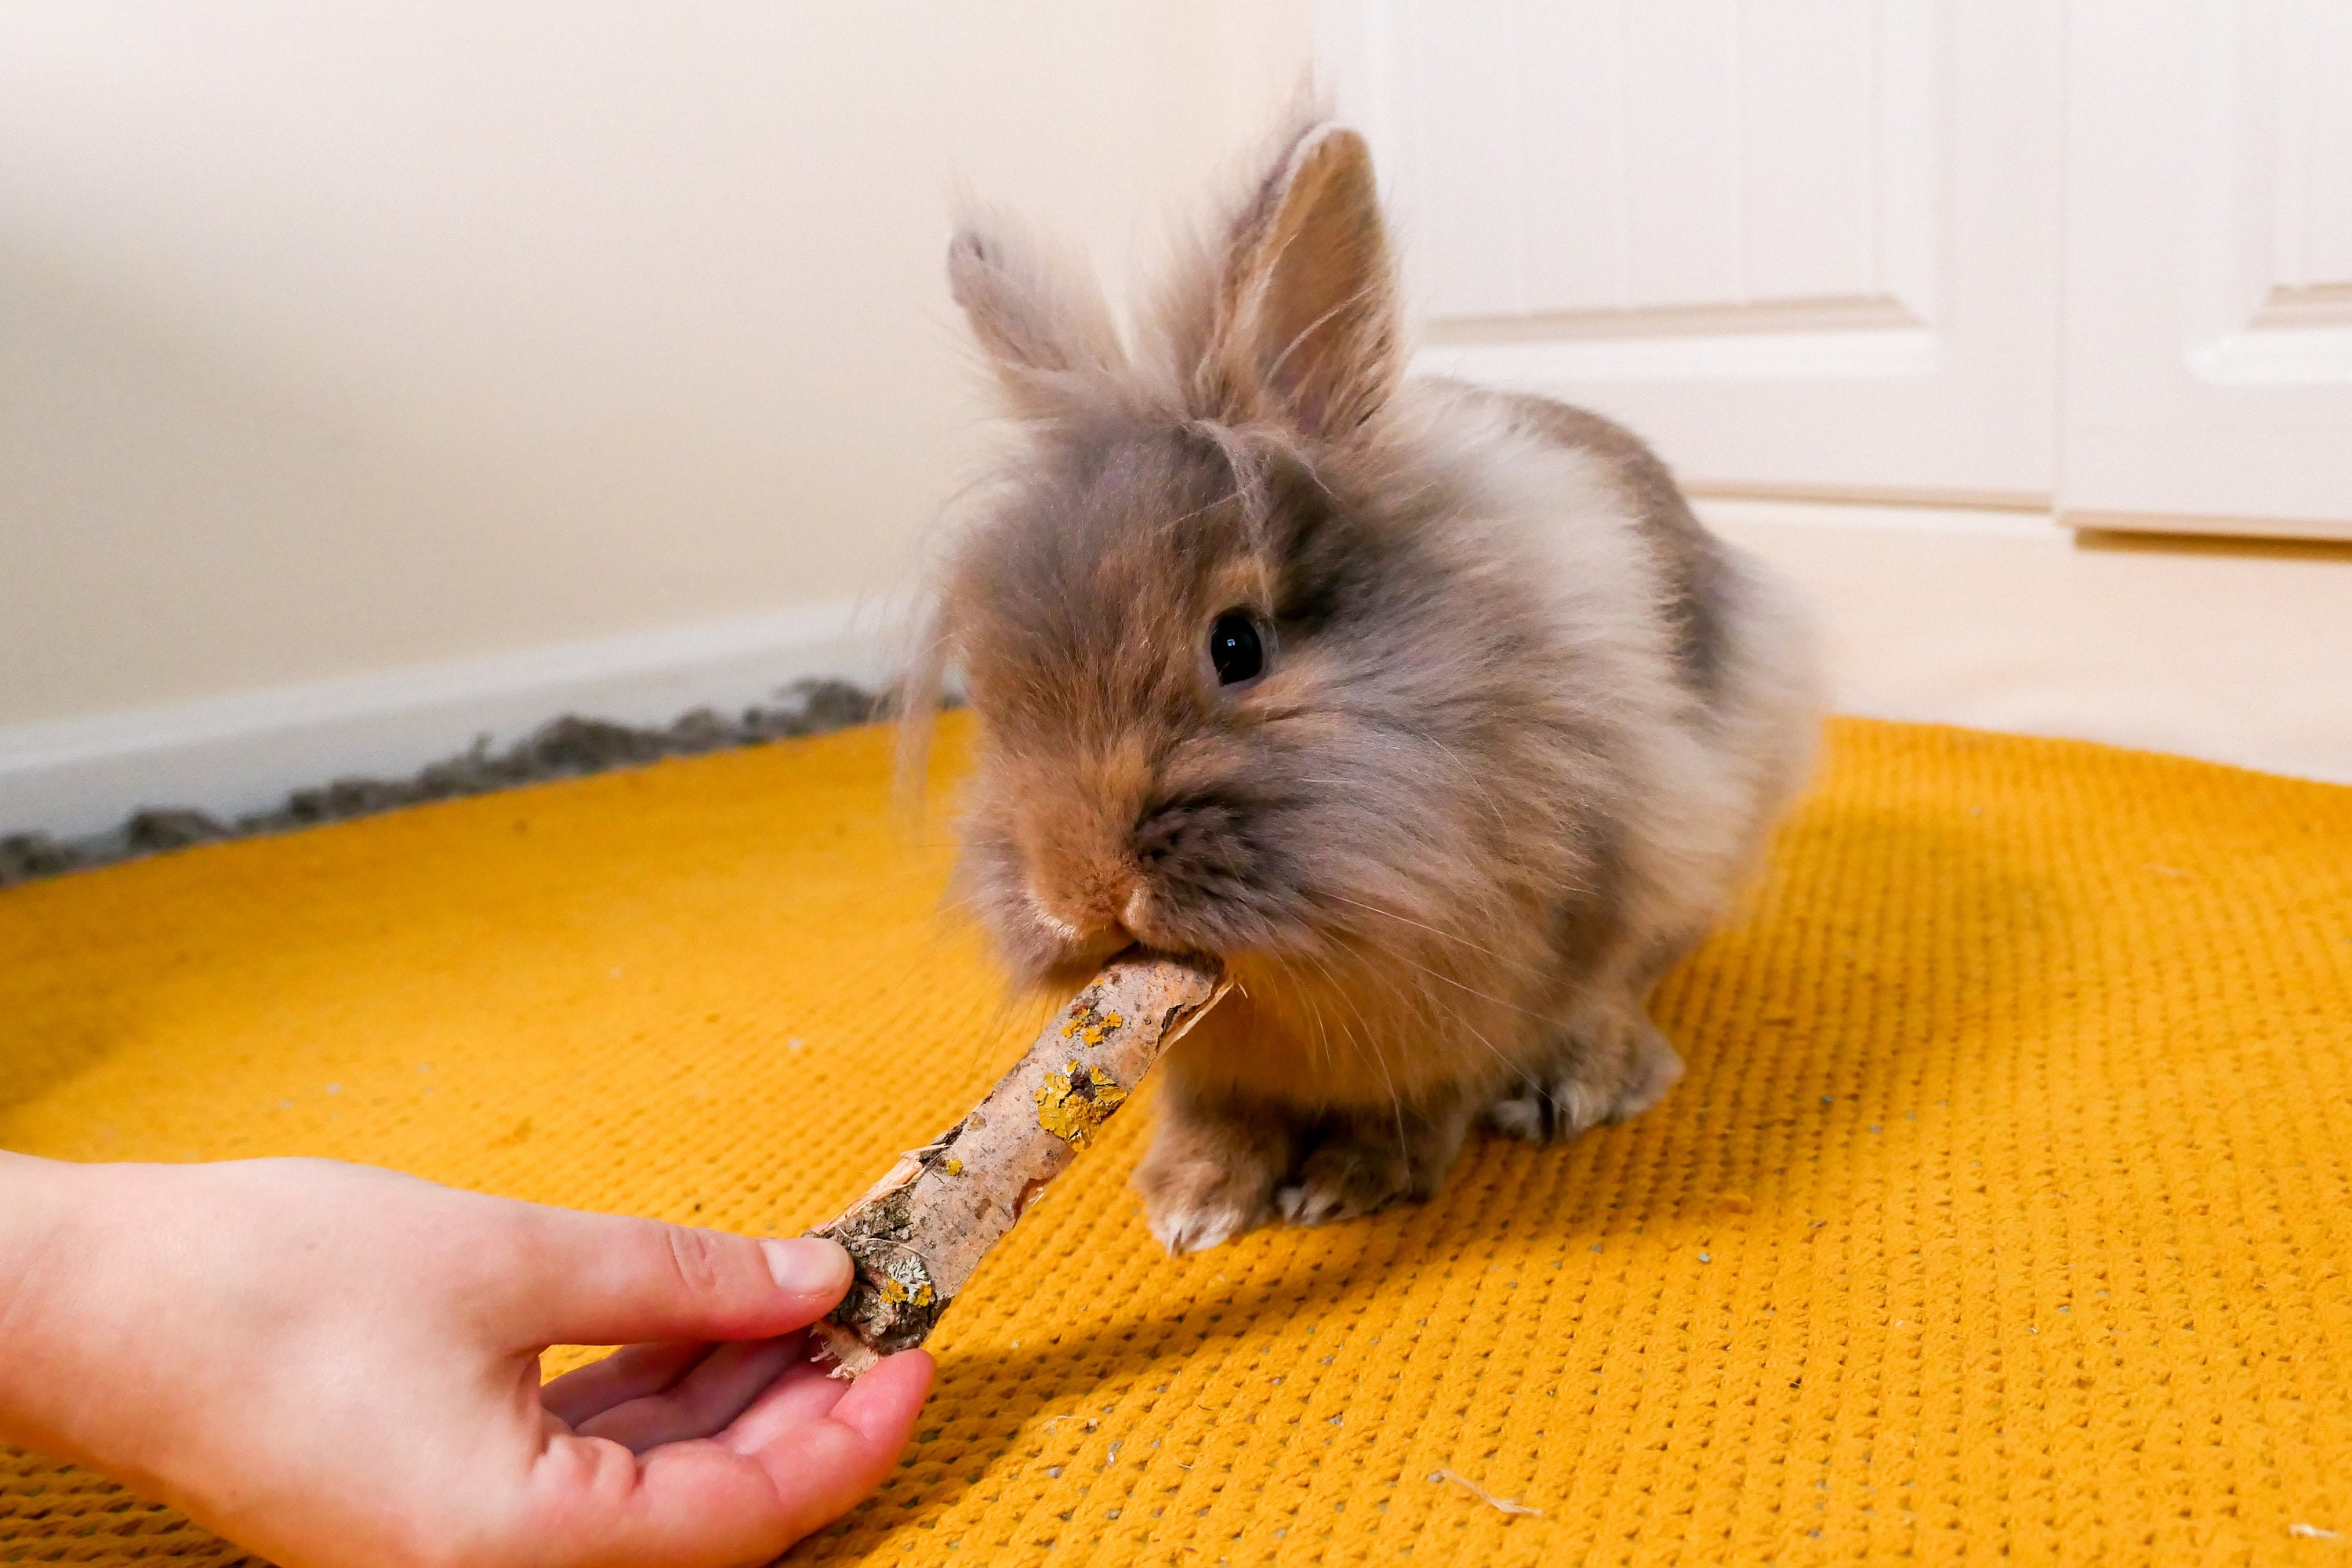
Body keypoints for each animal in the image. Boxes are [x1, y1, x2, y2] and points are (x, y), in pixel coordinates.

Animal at [900, 113, 1822, 1255]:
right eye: (986, 691)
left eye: (1238, 646)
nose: (1076, 897)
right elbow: (1217, 1103)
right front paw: (1192, 1199)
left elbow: (1432, 1087)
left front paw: (1352, 1180)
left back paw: (1576, 1085)